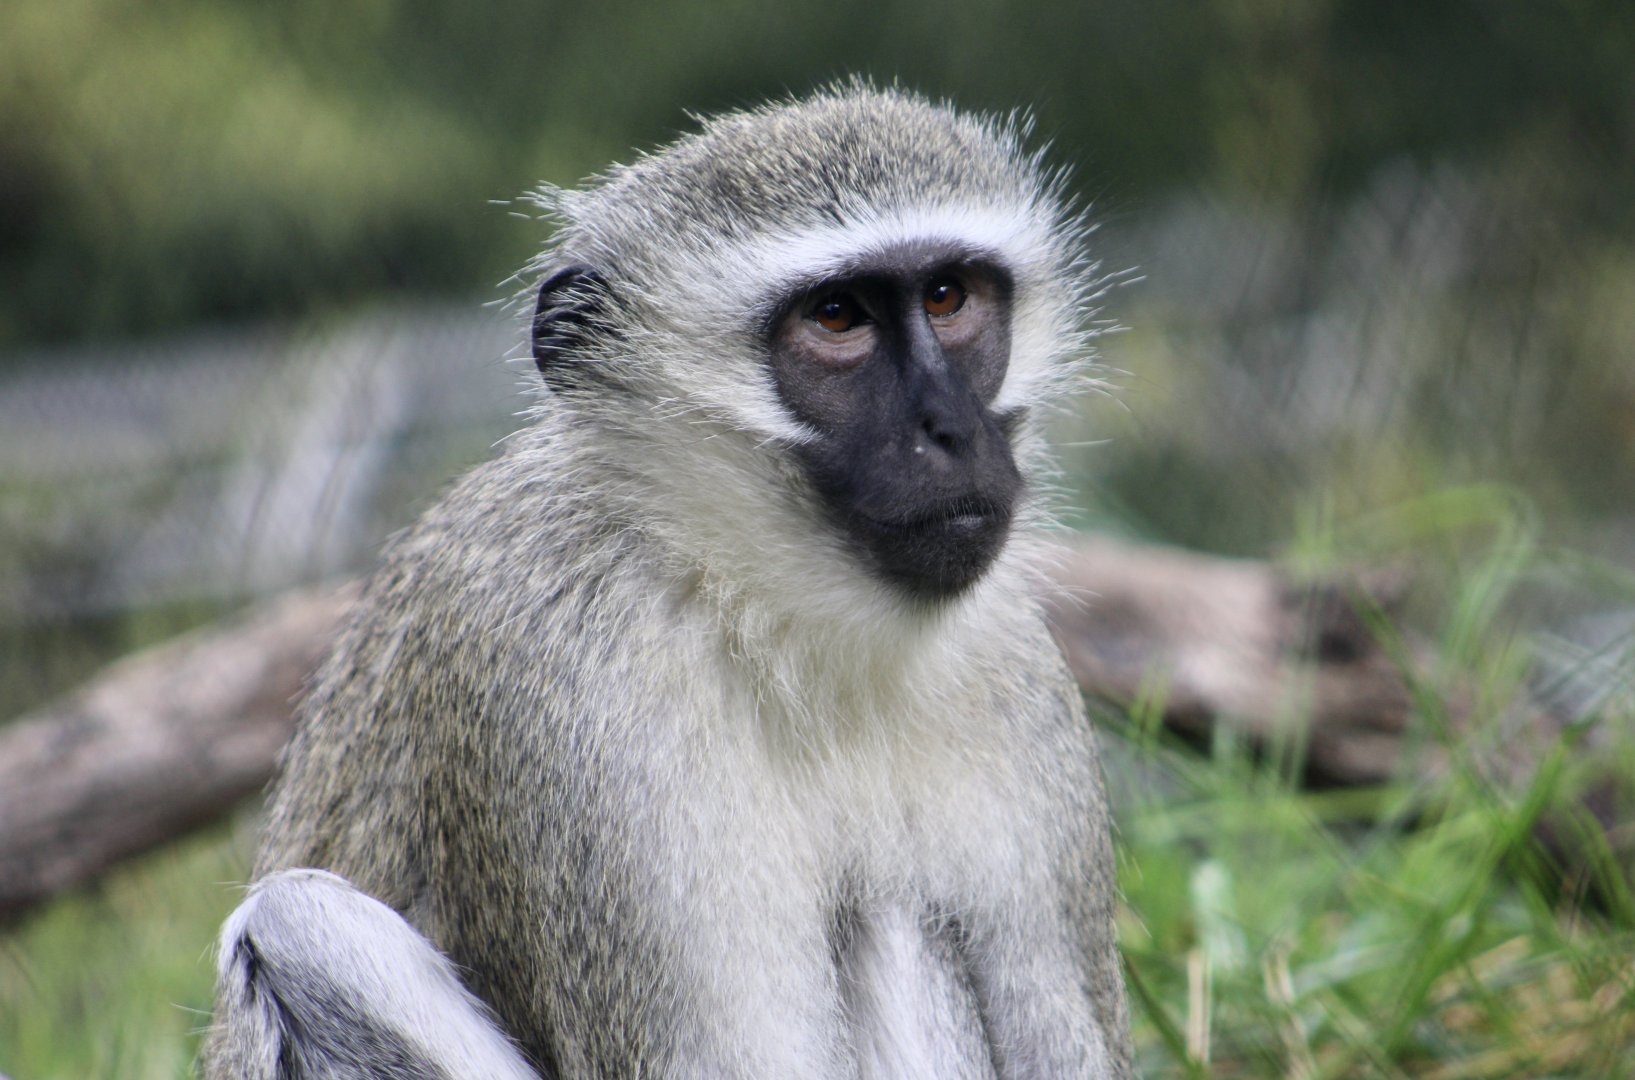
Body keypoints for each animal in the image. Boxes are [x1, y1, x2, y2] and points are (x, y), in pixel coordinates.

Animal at [202, 84, 1132, 1079]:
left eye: (948, 296)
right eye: (836, 317)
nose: (953, 429)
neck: (768, 616)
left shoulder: (1023, 689)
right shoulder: (575, 699)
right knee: (300, 922)